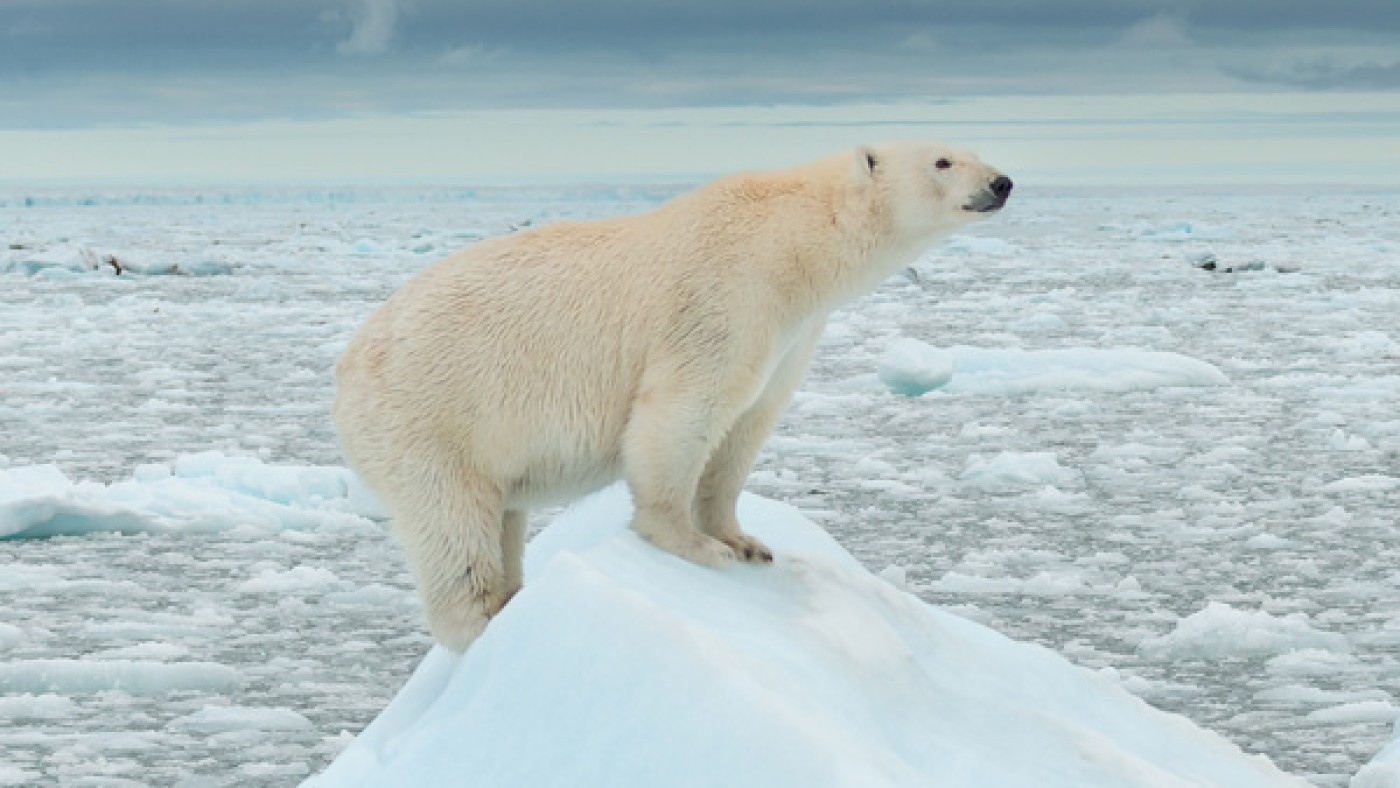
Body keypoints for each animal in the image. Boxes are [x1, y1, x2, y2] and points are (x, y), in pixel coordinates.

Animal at [338, 142, 1019, 655]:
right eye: (943, 160)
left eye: (970, 149)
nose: (1003, 182)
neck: (793, 242)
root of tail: (345, 371)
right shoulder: (724, 297)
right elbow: (686, 408)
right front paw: (693, 543)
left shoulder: (791, 334)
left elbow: (746, 428)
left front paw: (745, 542)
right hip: (431, 421)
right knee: (453, 526)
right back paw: (484, 618)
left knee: (503, 516)